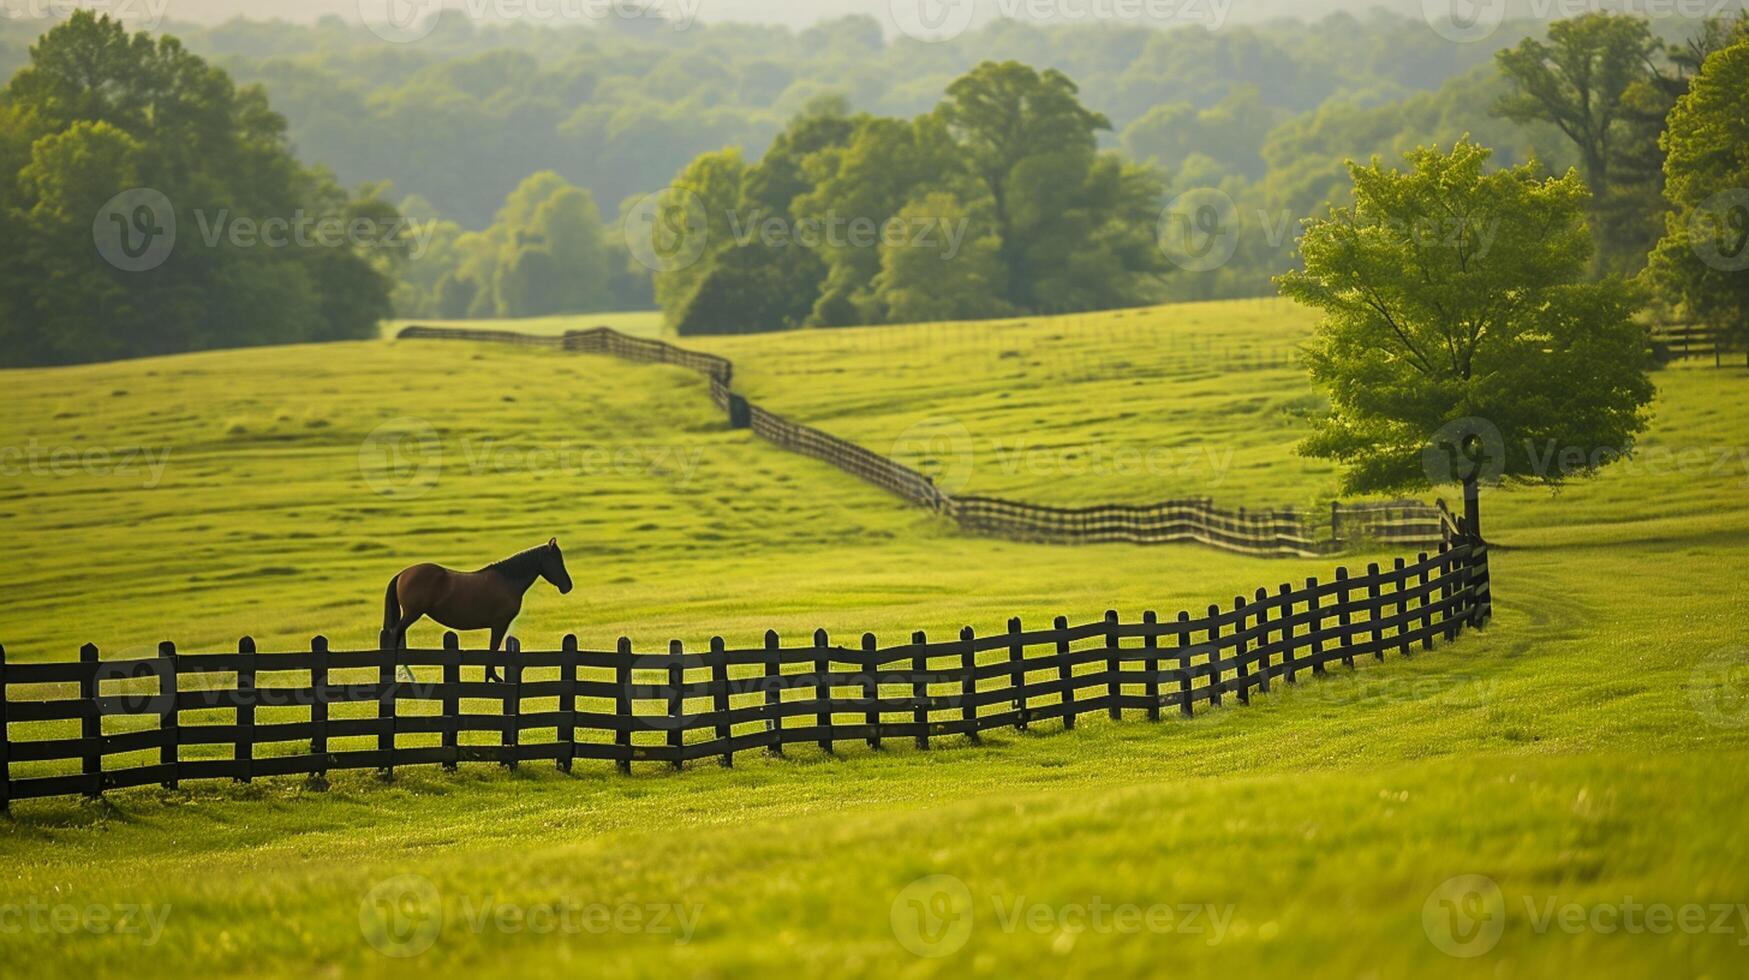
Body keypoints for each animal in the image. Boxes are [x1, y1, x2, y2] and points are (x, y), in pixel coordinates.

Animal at [383, 535, 573, 682]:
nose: (567, 586)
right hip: (411, 614)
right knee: (395, 634)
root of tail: (403, 574)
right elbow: (493, 649)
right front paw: (493, 677)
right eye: (556, 560)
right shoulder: (499, 624)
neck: (508, 580)